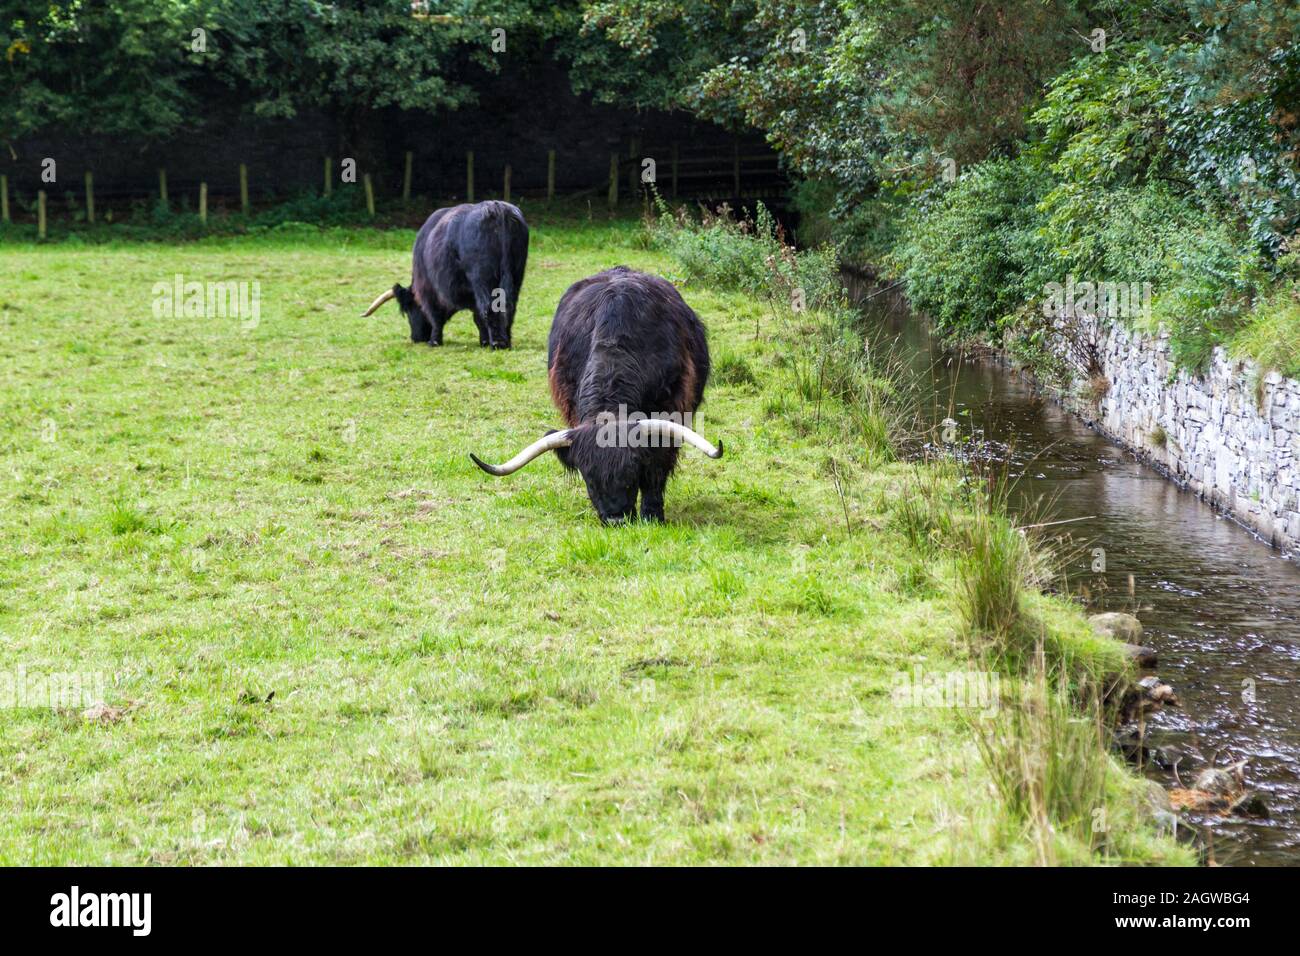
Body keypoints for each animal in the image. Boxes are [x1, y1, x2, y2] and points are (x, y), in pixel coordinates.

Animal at [358, 200, 525, 348]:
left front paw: (434, 342)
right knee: (508, 307)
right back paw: (506, 341)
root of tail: (496, 207)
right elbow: (477, 317)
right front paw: (483, 341)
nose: (416, 338)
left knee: (490, 306)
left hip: (483, 279)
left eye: (410, 308)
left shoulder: (428, 290)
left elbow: (436, 316)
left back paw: (497, 343)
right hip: (515, 276)